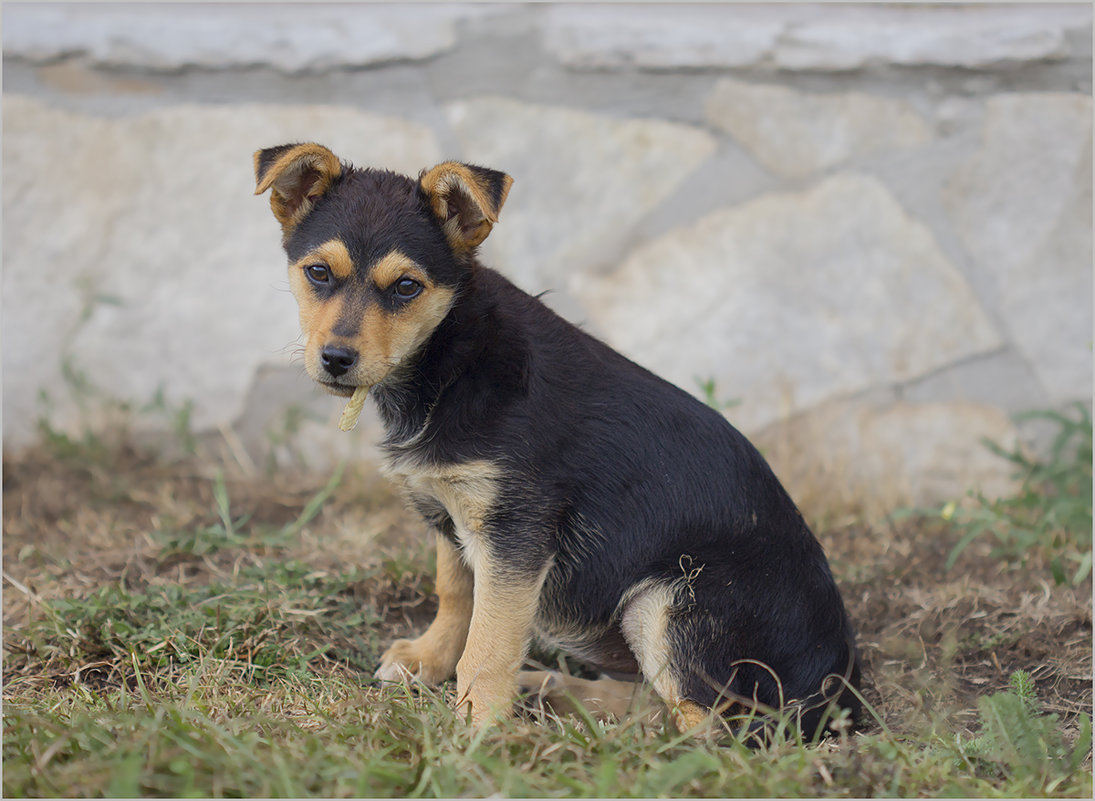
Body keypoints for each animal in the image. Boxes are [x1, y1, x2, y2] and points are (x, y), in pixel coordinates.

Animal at [251, 145, 858, 739]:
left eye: (406, 287)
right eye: (318, 272)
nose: (335, 360)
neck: (452, 361)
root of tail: (836, 695)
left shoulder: (516, 533)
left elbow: (489, 643)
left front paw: (474, 728)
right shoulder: (454, 512)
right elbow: (455, 593)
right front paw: (429, 659)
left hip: (670, 602)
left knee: (711, 727)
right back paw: (555, 693)